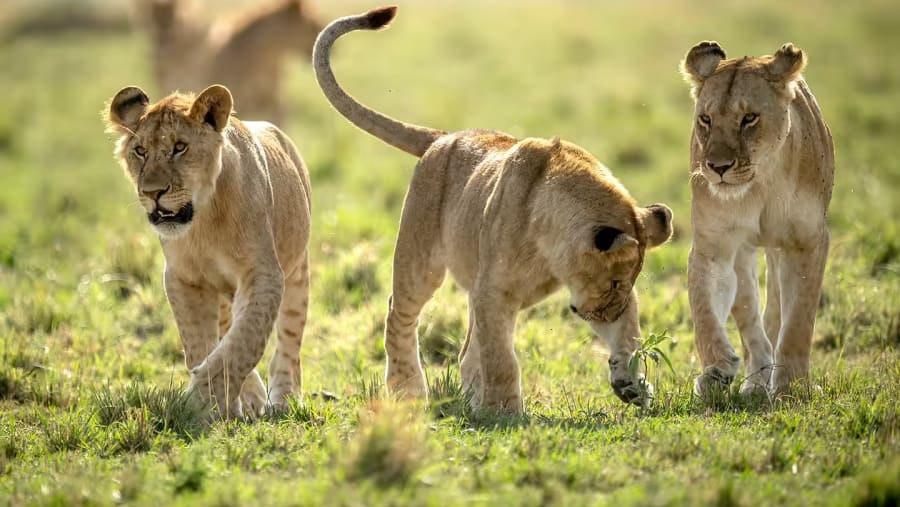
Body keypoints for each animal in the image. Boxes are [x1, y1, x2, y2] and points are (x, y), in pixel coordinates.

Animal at [104, 84, 312, 419]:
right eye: (140, 151)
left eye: (180, 147)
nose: (152, 192)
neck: (204, 220)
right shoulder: (183, 278)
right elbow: (200, 344)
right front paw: (215, 406)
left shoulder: (264, 273)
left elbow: (245, 340)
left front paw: (204, 403)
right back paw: (251, 398)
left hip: (297, 272)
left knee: (289, 340)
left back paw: (284, 398)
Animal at [313, 6, 674, 413]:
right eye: (613, 281)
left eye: (626, 283)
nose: (608, 314)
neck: (549, 247)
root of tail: (444, 137)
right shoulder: (493, 291)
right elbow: (501, 358)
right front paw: (506, 413)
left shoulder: (549, 292)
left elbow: (628, 337)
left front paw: (631, 384)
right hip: (419, 261)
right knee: (399, 316)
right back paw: (408, 391)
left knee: (466, 350)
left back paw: (469, 400)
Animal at [680, 41, 834, 397]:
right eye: (705, 119)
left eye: (749, 118)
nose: (718, 167)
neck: (761, 183)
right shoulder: (714, 246)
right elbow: (705, 314)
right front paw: (716, 371)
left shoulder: (808, 243)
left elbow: (798, 322)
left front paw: (793, 387)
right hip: (744, 253)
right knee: (750, 319)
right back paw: (755, 381)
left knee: (775, 309)